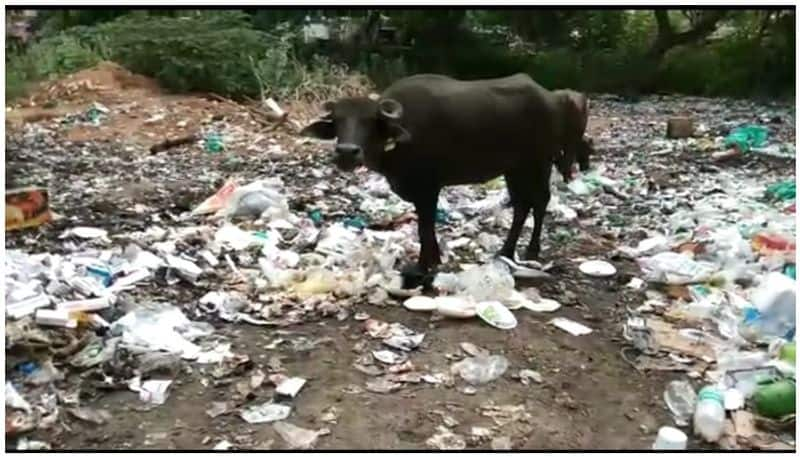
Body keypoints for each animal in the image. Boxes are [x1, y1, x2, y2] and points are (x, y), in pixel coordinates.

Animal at [304, 72, 584, 286]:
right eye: (338, 121)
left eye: (370, 121)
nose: (346, 152)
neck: (402, 139)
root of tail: (553, 98)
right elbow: (426, 227)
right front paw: (433, 260)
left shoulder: (428, 187)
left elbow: (424, 227)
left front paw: (422, 266)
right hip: (514, 169)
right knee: (521, 205)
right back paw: (505, 252)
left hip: (539, 163)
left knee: (541, 201)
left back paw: (531, 249)